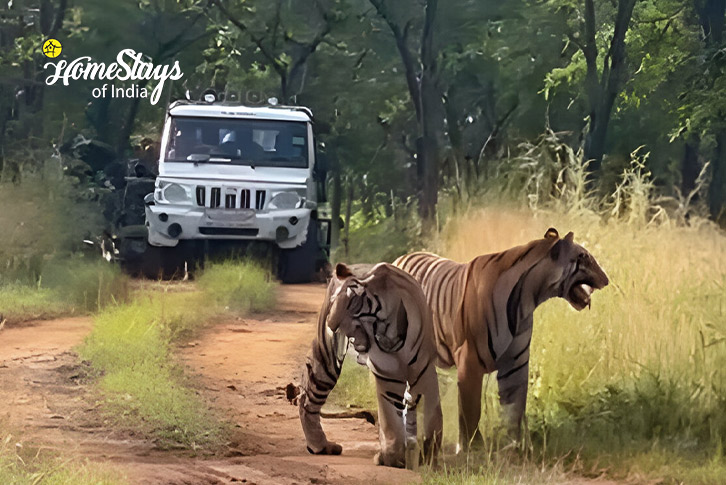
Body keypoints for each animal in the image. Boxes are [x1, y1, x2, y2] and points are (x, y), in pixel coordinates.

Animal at [298, 262, 444, 466]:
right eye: (335, 301)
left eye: (351, 302)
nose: (331, 324)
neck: (389, 331)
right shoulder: (388, 376)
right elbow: (391, 420)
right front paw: (393, 458)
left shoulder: (424, 373)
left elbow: (431, 419)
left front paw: (428, 459)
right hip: (326, 361)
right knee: (306, 399)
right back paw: (320, 445)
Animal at [392, 227, 608, 450]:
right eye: (583, 256)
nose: (606, 279)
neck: (527, 299)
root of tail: (400, 258)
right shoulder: (469, 361)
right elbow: (470, 410)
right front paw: (471, 447)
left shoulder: (516, 363)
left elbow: (514, 409)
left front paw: (513, 446)